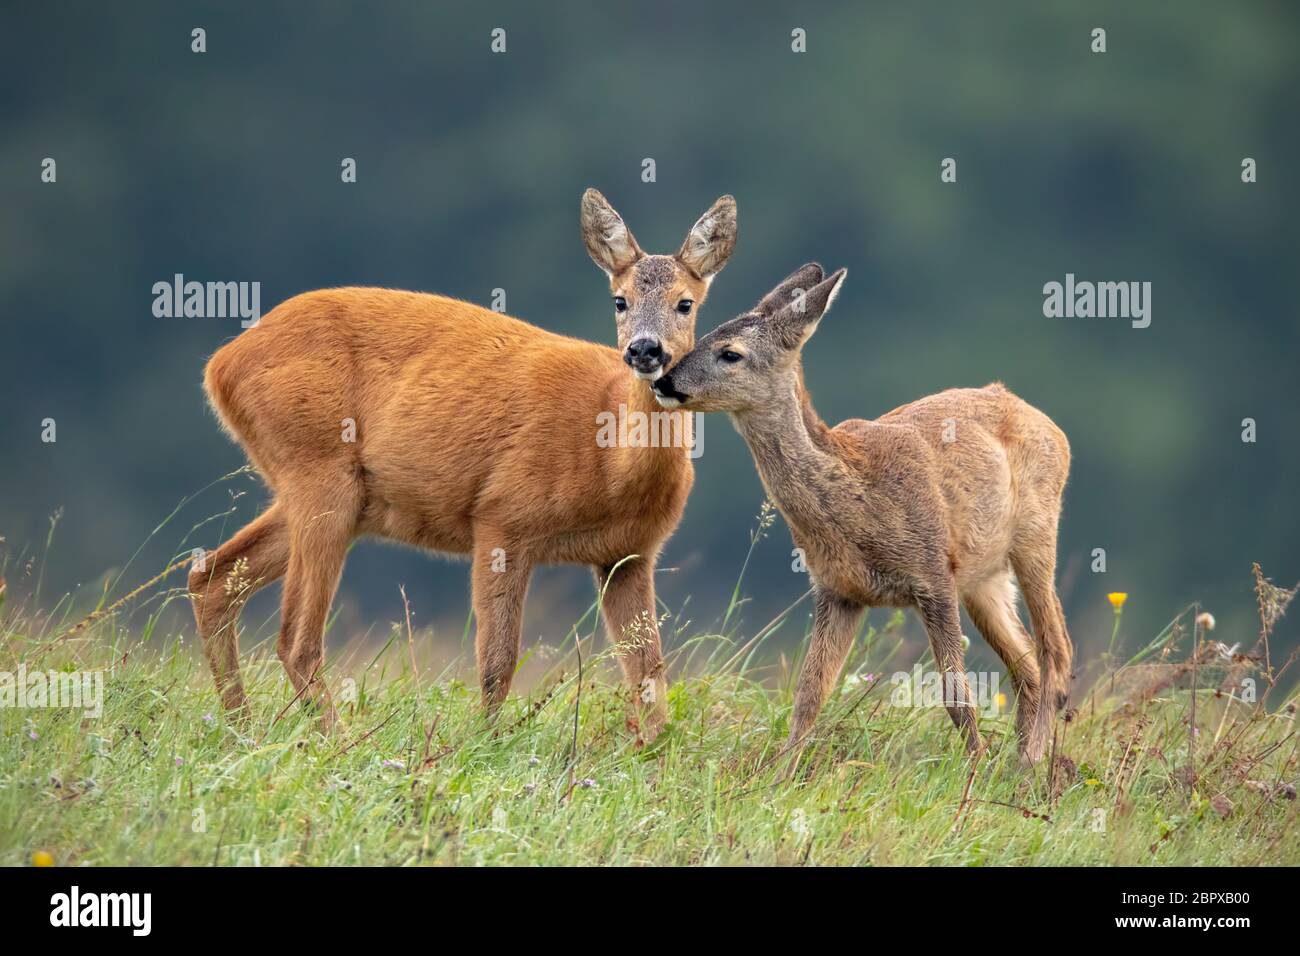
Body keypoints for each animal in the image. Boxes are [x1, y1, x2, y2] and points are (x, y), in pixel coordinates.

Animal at [188, 188, 737, 740]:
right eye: (619, 300)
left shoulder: (629, 554)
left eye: (685, 303)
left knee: (211, 577)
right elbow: (497, 662)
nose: (644, 349)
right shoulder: (502, 517)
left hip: (334, 494)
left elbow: (650, 676)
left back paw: (238, 726)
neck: (610, 464)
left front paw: (653, 748)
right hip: (317, 470)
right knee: (295, 638)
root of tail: (219, 366)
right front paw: (487, 744)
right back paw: (331, 739)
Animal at [652, 264, 1073, 765]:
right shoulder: (837, 591)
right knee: (1027, 664)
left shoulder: (933, 574)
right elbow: (809, 694)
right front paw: (781, 772)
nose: (661, 381)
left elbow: (955, 694)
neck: (858, 497)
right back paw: (1020, 764)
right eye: (702, 332)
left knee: (1055, 651)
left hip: (1036, 531)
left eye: (730, 353)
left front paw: (972, 769)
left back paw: (1030, 760)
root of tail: (1047, 422)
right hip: (983, 576)